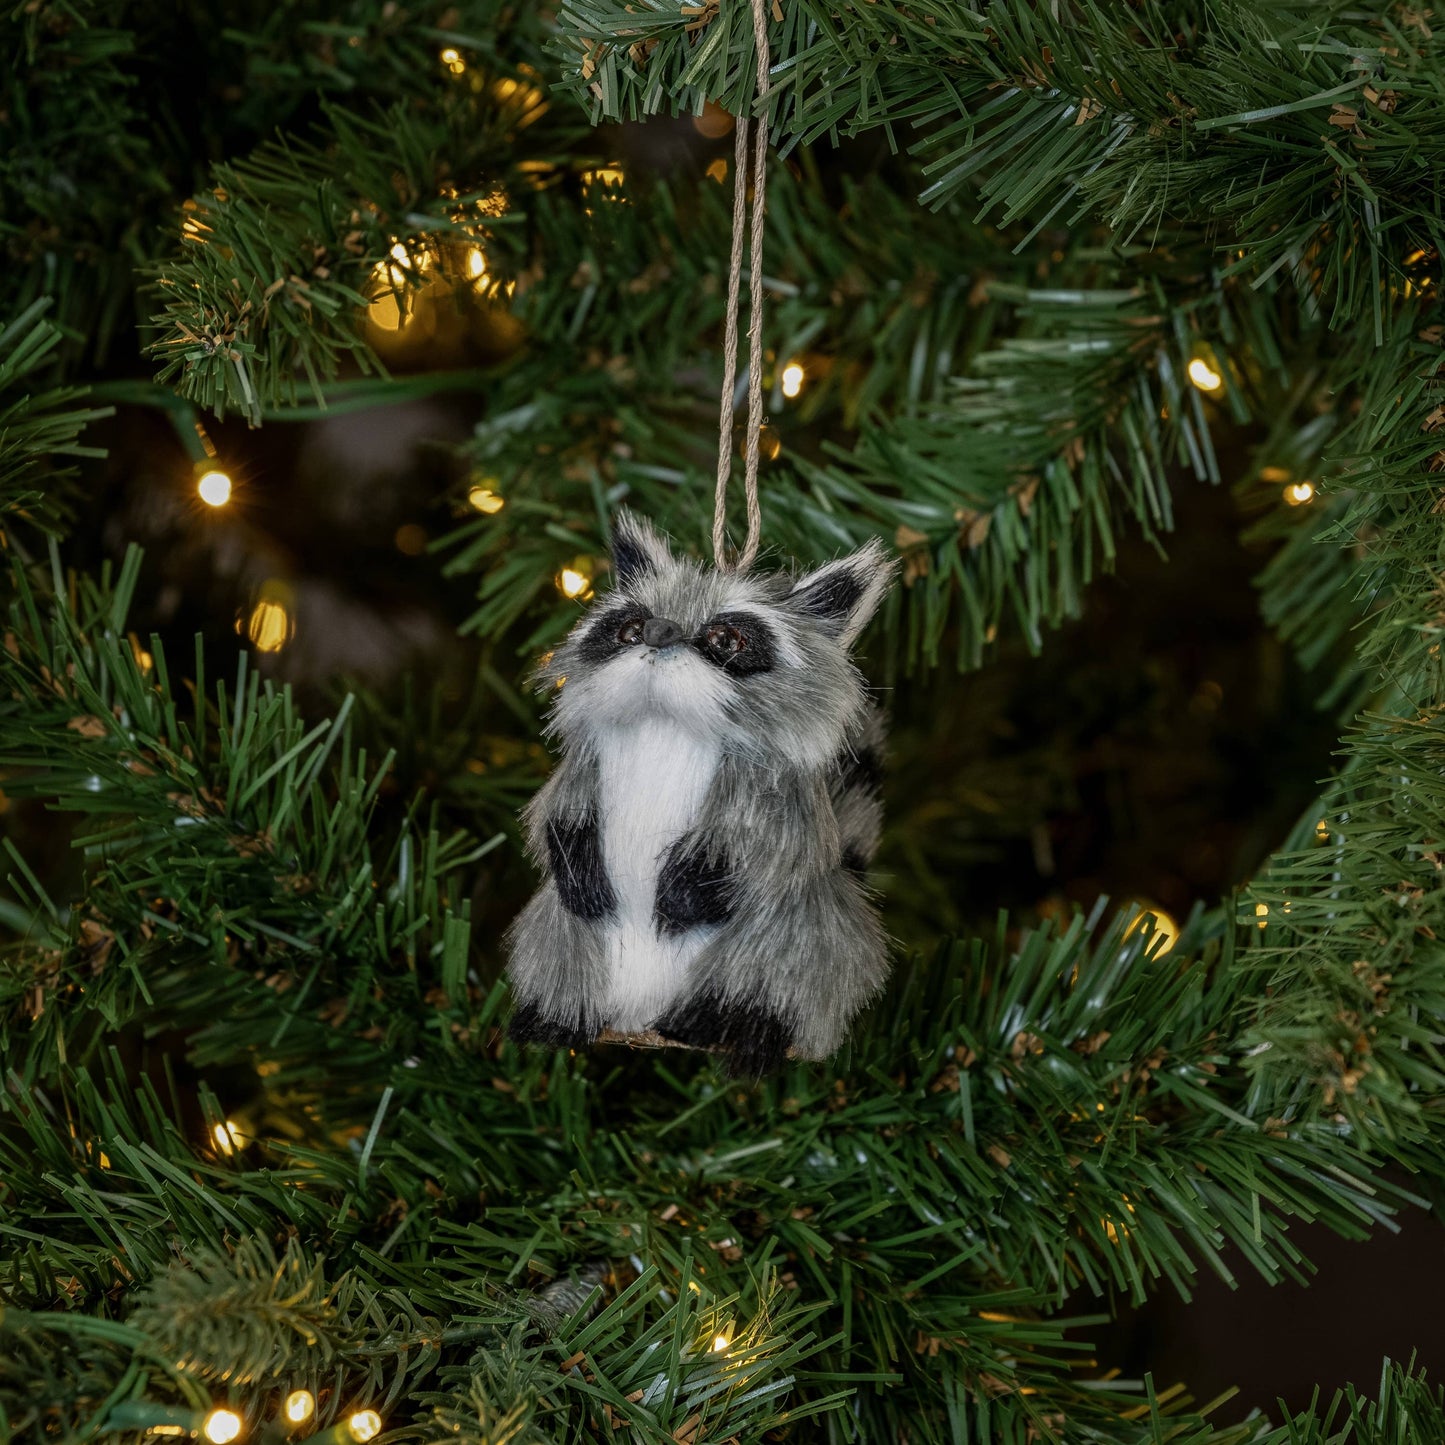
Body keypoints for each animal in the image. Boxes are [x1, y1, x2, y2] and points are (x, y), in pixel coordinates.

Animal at [506, 511, 896, 1075]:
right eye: (629, 627)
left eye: (725, 638)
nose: (657, 631)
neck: (665, 719)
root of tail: (639, 1012)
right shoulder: (584, 764)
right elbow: (557, 814)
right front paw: (571, 851)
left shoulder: (767, 784)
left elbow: (766, 844)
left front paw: (693, 885)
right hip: (565, 935)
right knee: (561, 950)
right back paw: (553, 1018)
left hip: (793, 939)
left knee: (769, 967)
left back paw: (731, 1026)